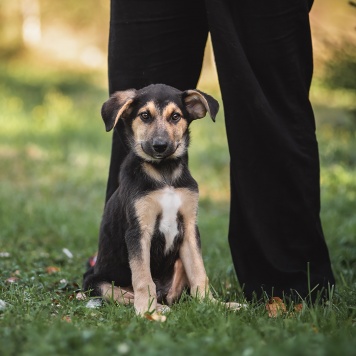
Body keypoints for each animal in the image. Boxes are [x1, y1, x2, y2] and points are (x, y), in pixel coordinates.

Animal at [82, 83, 241, 320]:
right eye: (144, 116)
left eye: (175, 116)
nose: (160, 146)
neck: (164, 174)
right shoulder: (138, 231)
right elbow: (142, 278)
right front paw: (145, 311)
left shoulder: (190, 228)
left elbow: (199, 272)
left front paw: (213, 304)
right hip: (96, 282)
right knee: (122, 294)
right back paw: (154, 307)